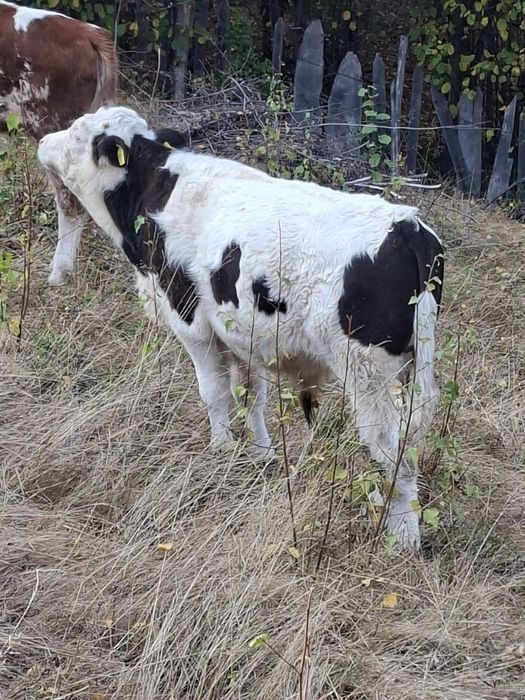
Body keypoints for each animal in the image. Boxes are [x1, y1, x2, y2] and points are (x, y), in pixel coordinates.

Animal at [37, 106, 444, 550]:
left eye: (77, 134)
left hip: (368, 374)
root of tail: (407, 226)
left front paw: (221, 447)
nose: (43, 141)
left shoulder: (192, 323)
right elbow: (251, 396)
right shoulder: (244, 335)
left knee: (393, 446)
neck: (159, 191)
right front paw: (262, 454)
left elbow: (213, 392)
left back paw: (402, 535)